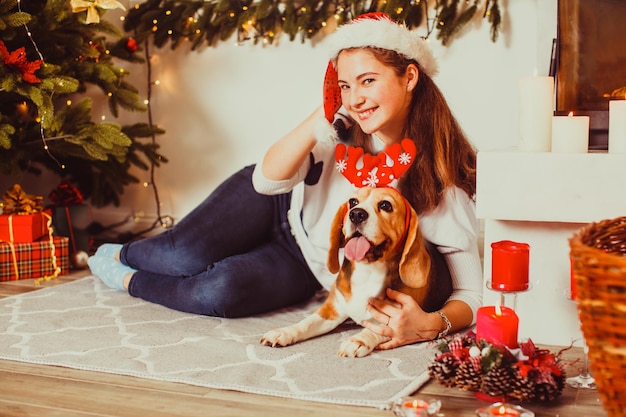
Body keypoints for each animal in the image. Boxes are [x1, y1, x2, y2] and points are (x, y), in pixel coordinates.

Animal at [258, 187, 448, 356]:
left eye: (385, 205)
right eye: (353, 202)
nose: (356, 214)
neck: (368, 270)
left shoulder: (398, 317)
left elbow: (376, 329)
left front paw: (357, 341)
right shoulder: (331, 310)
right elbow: (306, 322)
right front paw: (285, 332)